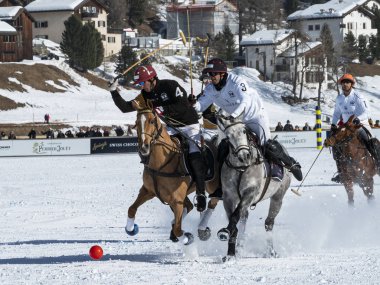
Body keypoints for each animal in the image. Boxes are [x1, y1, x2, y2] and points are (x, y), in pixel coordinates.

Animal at [124, 100, 220, 244]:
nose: (144, 148)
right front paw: (130, 228)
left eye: (152, 121)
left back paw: (203, 229)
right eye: (136, 122)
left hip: (213, 186)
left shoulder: (176, 199)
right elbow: (131, 208)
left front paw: (187, 237)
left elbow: (179, 229)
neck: (160, 164)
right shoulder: (148, 190)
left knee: (212, 202)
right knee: (190, 206)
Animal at [215, 110, 292, 260]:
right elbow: (234, 219)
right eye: (228, 136)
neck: (241, 167)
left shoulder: (250, 192)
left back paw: (271, 251)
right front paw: (230, 253)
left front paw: (225, 232)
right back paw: (240, 248)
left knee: (269, 223)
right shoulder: (228, 197)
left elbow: (235, 216)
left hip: (278, 196)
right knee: (244, 218)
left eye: (244, 131)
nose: (244, 155)